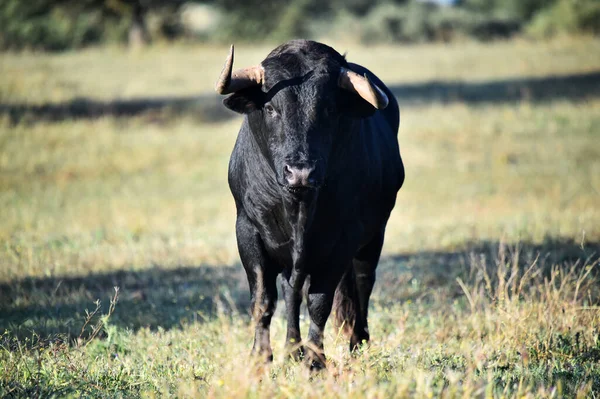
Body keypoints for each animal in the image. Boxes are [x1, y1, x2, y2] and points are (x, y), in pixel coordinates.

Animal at [214, 39, 404, 368]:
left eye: (328, 109)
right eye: (270, 108)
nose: (300, 172)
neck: (298, 206)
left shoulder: (342, 241)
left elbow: (320, 303)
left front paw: (316, 361)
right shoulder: (248, 231)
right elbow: (263, 299)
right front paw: (260, 358)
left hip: (374, 236)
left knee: (363, 283)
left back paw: (357, 343)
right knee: (291, 290)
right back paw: (292, 349)